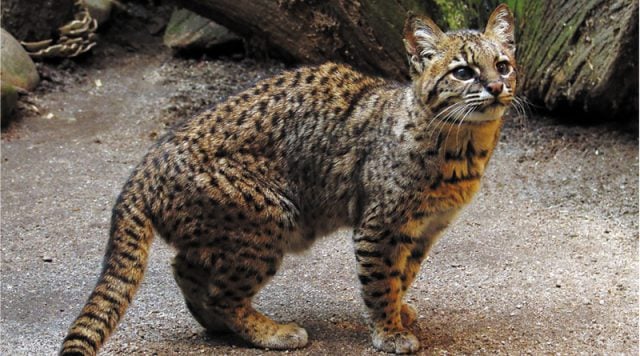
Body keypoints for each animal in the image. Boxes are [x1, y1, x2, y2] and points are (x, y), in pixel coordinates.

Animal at [61, 4, 516, 354]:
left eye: (504, 66)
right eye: (463, 72)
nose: (497, 86)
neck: (463, 147)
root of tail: (146, 165)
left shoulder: (423, 230)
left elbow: (403, 275)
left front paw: (400, 314)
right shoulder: (379, 226)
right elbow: (381, 281)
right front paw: (389, 333)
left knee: (185, 268)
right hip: (269, 217)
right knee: (221, 294)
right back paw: (271, 332)